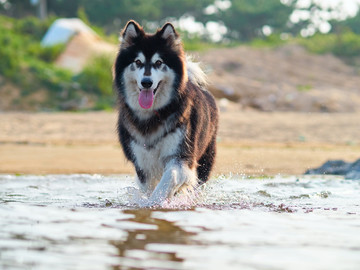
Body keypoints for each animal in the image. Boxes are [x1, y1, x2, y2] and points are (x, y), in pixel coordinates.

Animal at [114, 21, 218, 205]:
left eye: (158, 62)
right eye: (138, 62)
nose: (146, 82)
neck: (153, 115)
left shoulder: (181, 156)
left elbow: (171, 177)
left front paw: (155, 202)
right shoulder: (142, 163)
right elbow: (149, 187)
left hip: (205, 159)